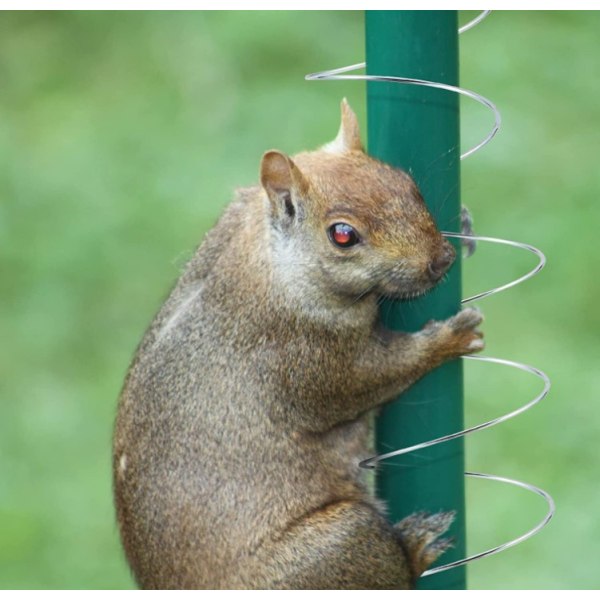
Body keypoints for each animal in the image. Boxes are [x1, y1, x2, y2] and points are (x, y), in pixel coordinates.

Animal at [115, 99, 486, 592]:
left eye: (408, 185)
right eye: (343, 235)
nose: (439, 260)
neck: (274, 263)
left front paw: (461, 225)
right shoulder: (304, 357)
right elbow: (375, 375)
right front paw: (450, 338)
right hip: (342, 544)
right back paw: (415, 550)